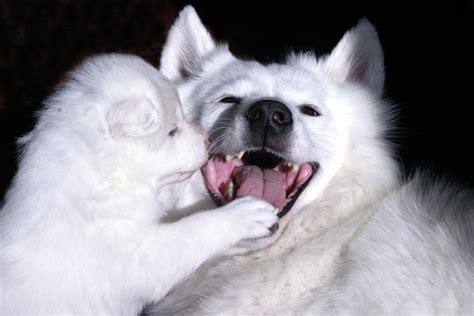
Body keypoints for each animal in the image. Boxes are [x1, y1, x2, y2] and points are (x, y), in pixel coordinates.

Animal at [0, 53, 278, 314]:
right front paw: (245, 214)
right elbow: (194, 230)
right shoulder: (139, 255)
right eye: (172, 131)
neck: (109, 175)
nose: (207, 140)